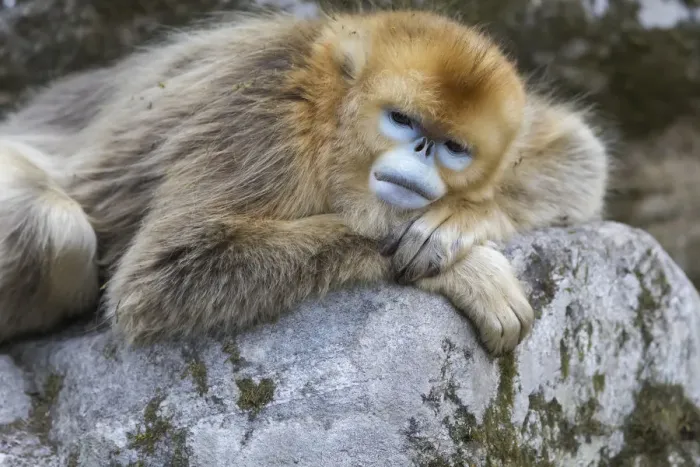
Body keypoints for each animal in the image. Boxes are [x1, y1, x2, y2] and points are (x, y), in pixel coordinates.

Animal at [0, 9, 608, 355]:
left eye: (454, 148)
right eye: (403, 121)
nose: (420, 155)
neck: (328, 109)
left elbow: (584, 154)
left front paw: (454, 222)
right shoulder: (266, 113)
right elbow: (163, 275)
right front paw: (470, 269)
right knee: (53, 227)